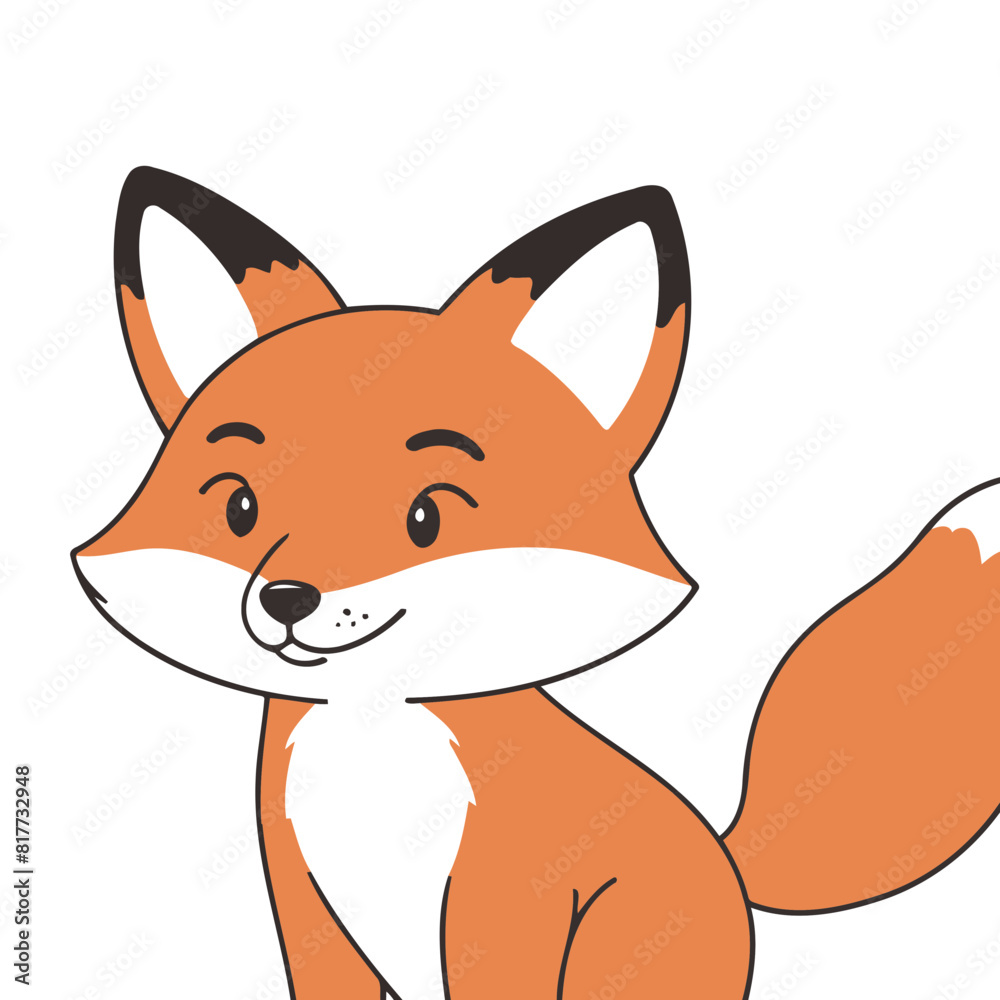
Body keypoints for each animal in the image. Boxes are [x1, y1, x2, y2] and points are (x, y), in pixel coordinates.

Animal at [71, 166, 1000, 999]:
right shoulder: (304, 900)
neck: (373, 741)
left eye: (426, 519)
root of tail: (729, 862)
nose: (287, 600)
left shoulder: (506, 899)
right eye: (239, 507)